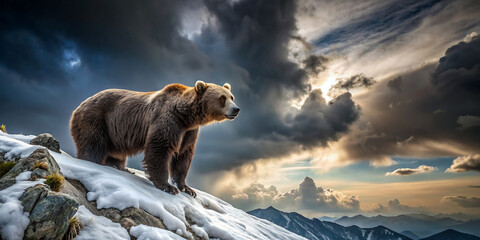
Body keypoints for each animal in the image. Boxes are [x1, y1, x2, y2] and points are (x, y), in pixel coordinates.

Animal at [70, 79, 240, 196]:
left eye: (232, 97)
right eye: (222, 98)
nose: (236, 109)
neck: (186, 116)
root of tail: (78, 106)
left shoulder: (189, 132)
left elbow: (184, 155)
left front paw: (187, 188)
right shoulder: (168, 119)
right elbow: (160, 147)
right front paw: (168, 187)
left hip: (115, 133)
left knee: (116, 152)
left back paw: (120, 167)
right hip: (97, 119)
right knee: (93, 143)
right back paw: (93, 161)